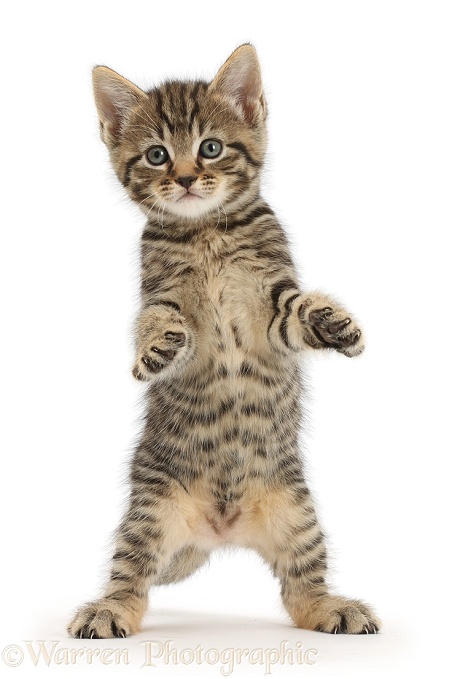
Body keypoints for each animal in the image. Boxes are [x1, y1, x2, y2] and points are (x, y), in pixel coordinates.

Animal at [68, 45, 378, 640]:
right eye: (157, 156)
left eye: (210, 148)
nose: (188, 178)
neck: (206, 230)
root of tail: (221, 530)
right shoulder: (160, 293)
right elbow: (157, 319)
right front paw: (156, 349)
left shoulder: (271, 307)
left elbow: (297, 312)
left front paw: (334, 323)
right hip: (149, 512)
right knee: (130, 576)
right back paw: (107, 611)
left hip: (297, 514)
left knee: (301, 588)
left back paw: (333, 607)